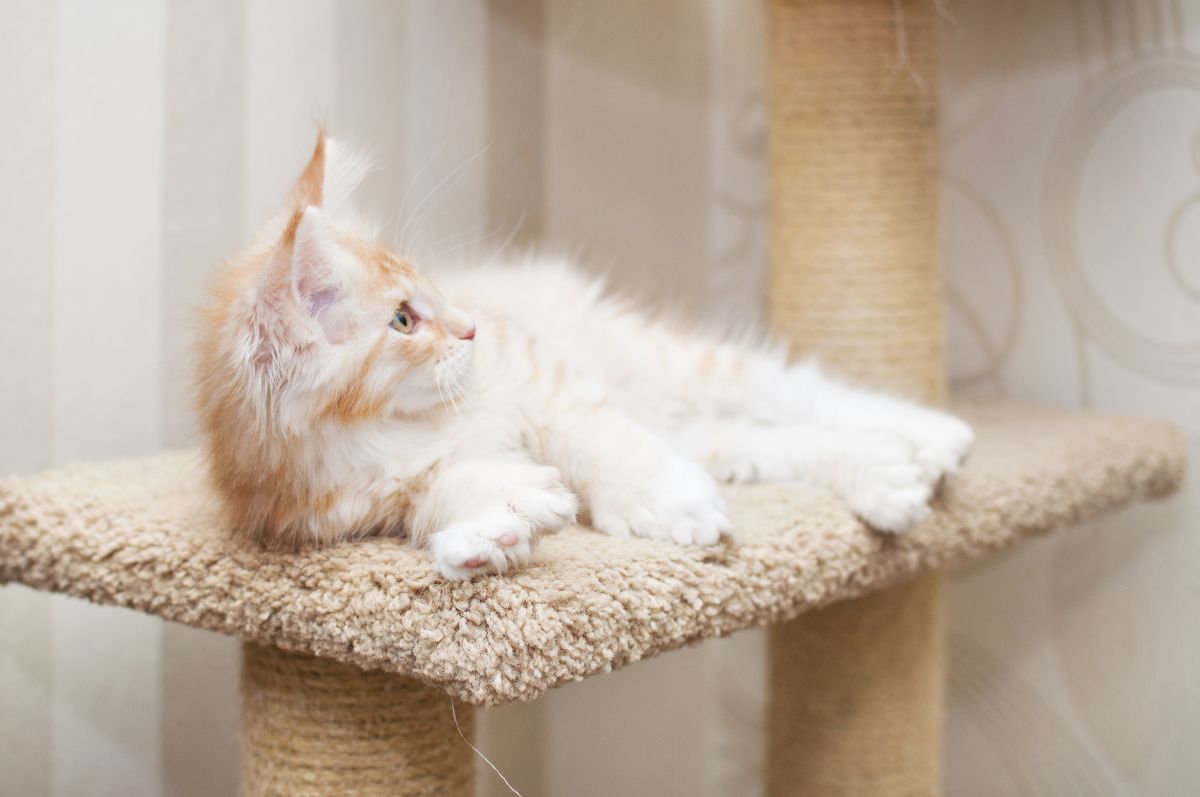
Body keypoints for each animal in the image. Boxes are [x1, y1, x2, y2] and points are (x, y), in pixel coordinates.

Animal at [196, 133, 974, 576]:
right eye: (403, 320)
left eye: (426, 296)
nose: (472, 329)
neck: (392, 427)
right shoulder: (363, 499)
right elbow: (454, 496)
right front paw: (493, 533)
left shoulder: (540, 376)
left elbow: (599, 442)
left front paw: (664, 497)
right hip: (689, 420)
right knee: (769, 443)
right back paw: (888, 475)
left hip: (657, 363)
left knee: (791, 389)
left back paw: (933, 435)